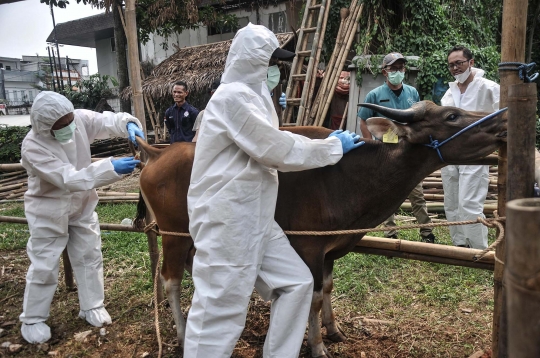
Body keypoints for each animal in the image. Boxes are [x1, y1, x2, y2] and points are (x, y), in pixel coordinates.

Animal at [134, 101, 506, 358]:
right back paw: (184, 335)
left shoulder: (329, 250)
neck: (348, 175)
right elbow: (311, 297)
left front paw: (334, 329)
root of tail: (155, 154)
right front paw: (316, 345)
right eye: (452, 115)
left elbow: (327, 288)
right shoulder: (309, 248)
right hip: (175, 235)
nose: (502, 120)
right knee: (170, 280)